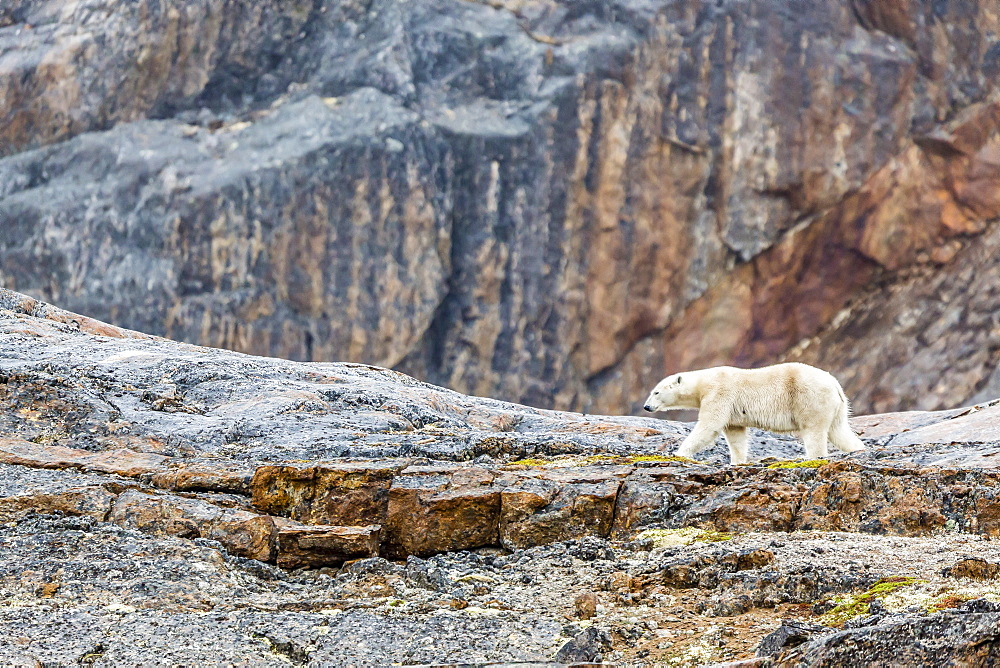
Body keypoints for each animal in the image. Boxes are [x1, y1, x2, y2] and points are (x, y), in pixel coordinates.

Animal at [644, 362, 864, 468]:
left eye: (656, 392)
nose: (646, 407)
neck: (702, 382)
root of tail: (835, 384)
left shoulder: (719, 393)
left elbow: (709, 425)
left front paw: (679, 454)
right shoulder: (732, 410)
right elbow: (735, 434)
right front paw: (737, 461)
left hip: (809, 397)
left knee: (814, 431)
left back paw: (810, 457)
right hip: (836, 407)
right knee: (839, 430)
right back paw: (858, 449)